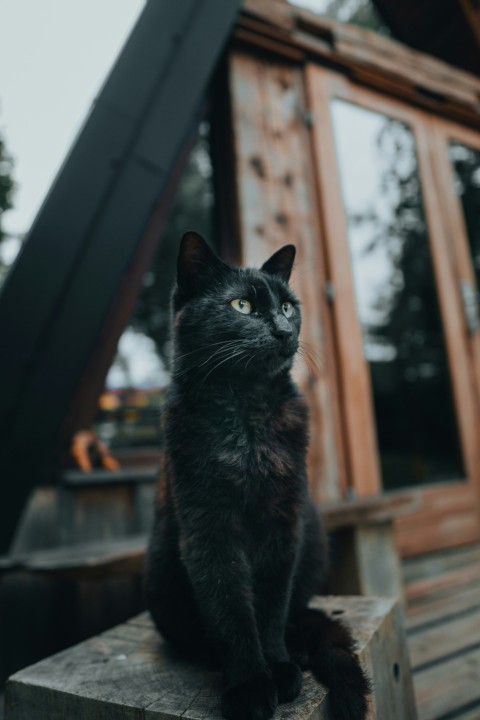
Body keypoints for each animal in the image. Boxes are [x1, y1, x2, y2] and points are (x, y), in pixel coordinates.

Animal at [146, 233, 372, 716]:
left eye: (287, 306)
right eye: (242, 306)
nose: (285, 330)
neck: (246, 424)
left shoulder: (282, 524)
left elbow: (269, 605)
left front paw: (279, 667)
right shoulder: (209, 531)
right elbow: (231, 610)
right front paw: (249, 684)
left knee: (295, 611)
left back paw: (298, 649)